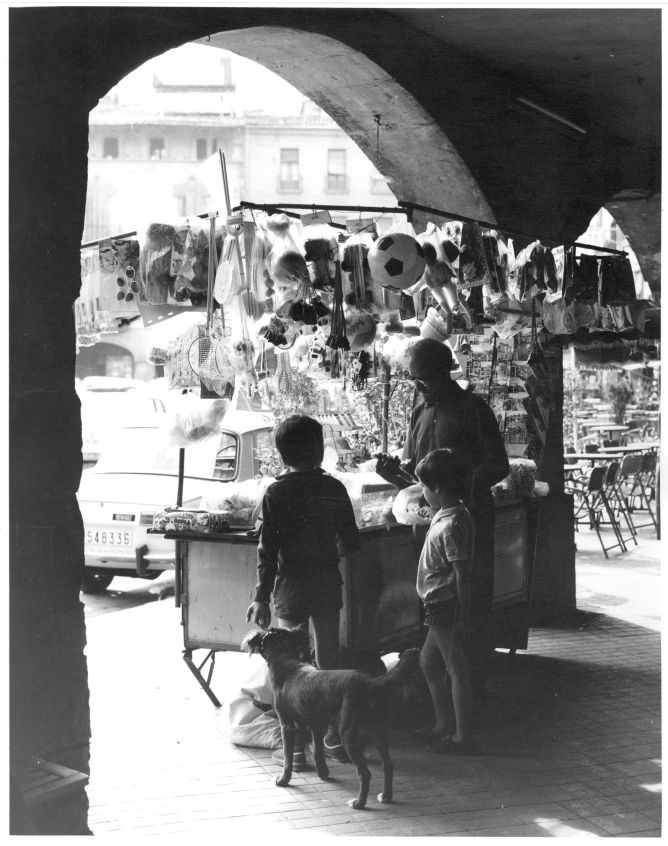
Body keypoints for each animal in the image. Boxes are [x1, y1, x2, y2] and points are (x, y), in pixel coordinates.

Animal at [241, 628, 418, 812]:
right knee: (388, 766)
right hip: (379, 733)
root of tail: (372, 684)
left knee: (365, 773)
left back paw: (359, 803)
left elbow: (288, 758)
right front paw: (323, 774)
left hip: (349, 736)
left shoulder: (287, 726)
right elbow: (318, 752)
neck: (285, 659)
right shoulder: (316, 725)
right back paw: (386, 796)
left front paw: (283, 780)